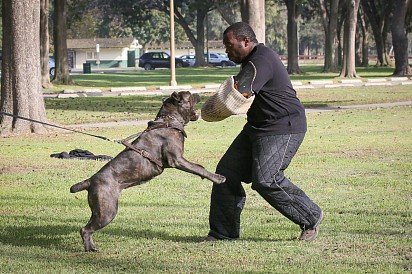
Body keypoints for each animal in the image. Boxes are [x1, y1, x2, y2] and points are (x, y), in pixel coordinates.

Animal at [70, 91, 225, 252]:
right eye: (189, 95)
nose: (197, 93)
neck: (168, 121)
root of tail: (90, 180)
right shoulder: (177, 160)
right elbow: (199, 168)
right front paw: (218, 178)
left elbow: (199, 167)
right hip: (107, 211)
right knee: (85, 229)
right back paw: (89, 248)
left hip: (99, 210)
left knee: (88, 227)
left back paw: (91, 246)